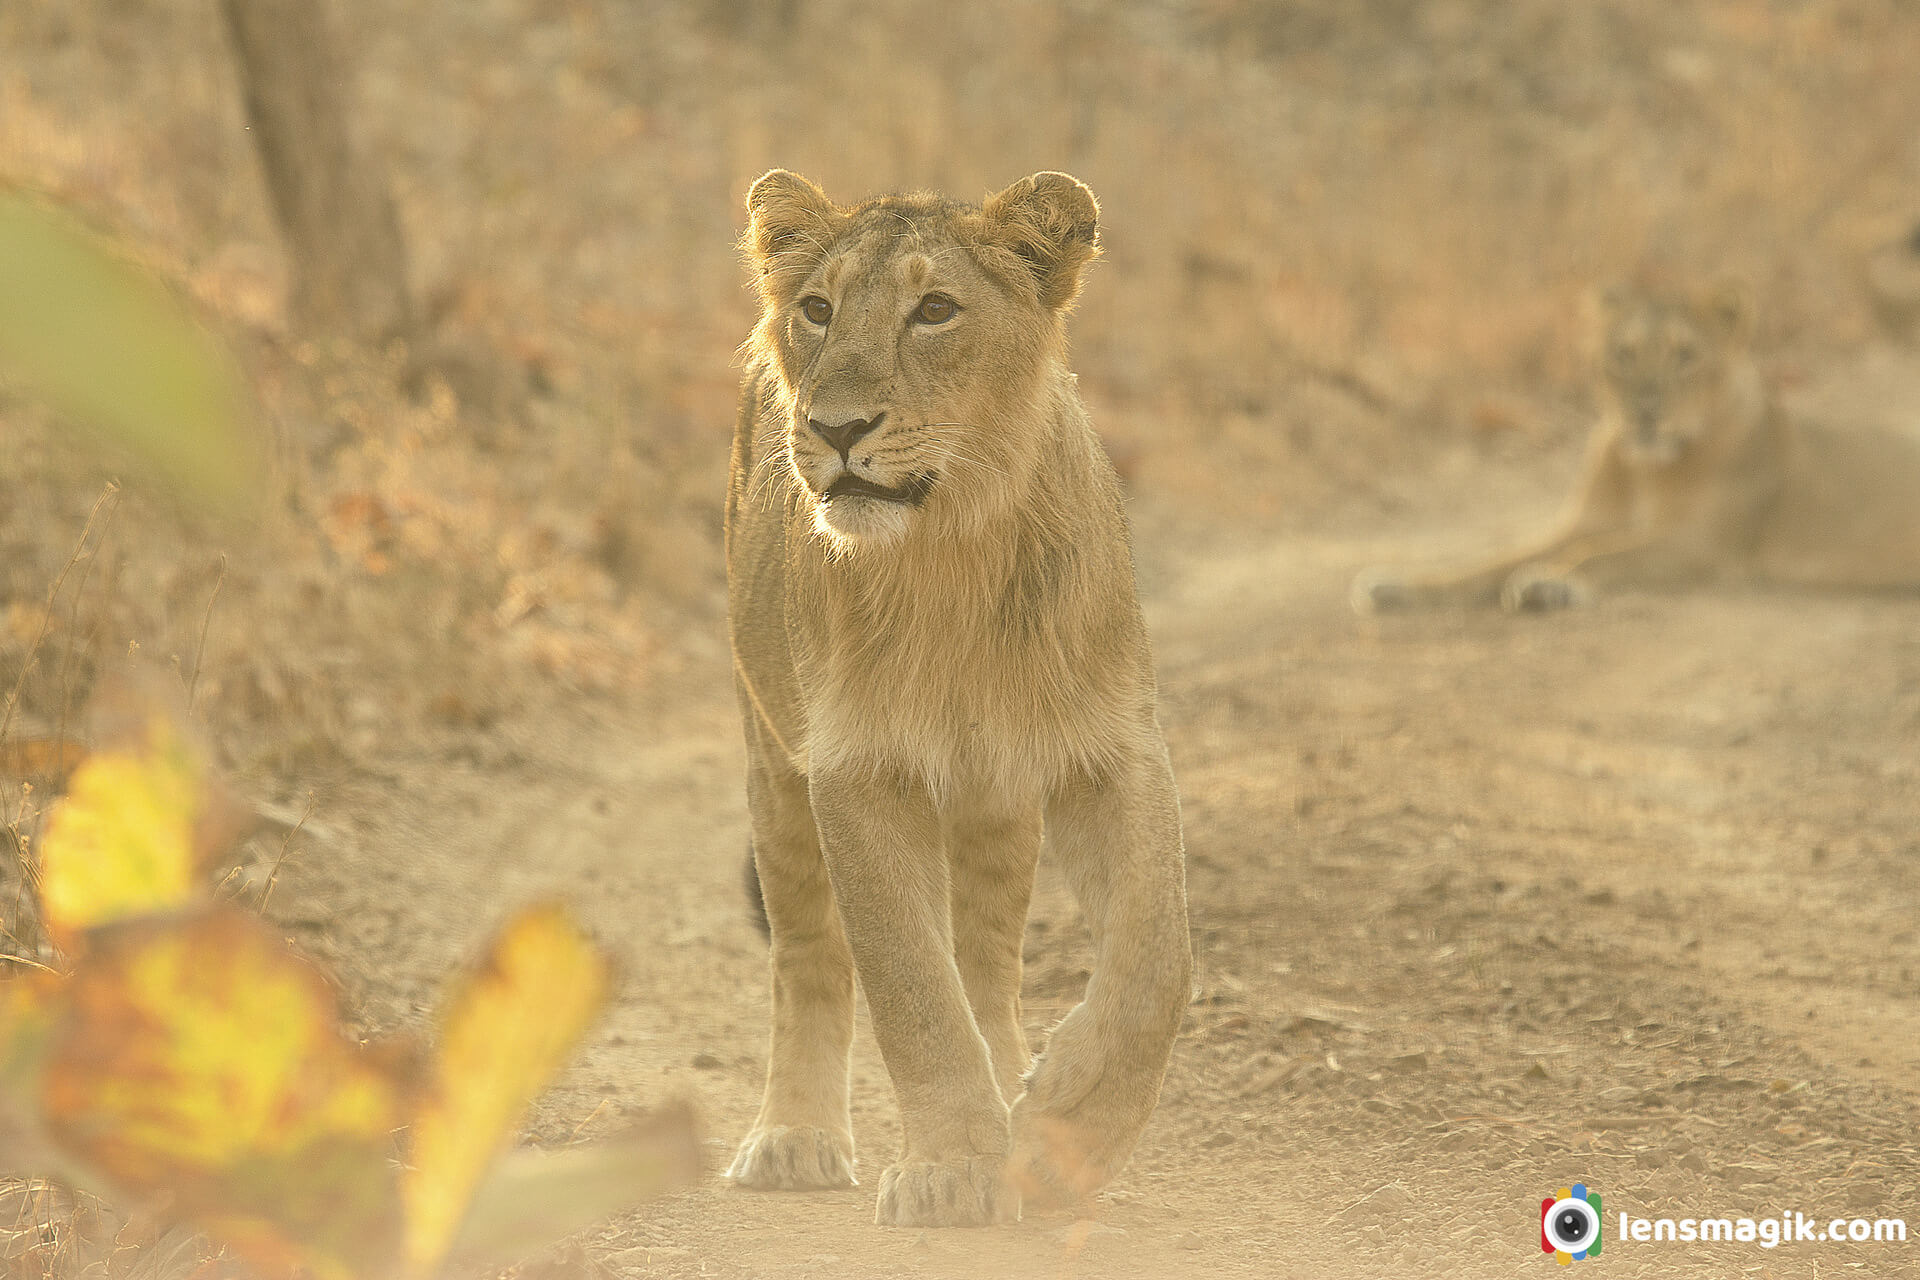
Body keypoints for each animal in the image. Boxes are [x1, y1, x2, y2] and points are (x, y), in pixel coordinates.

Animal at [725, 165, 1190, 1228]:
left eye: (935, 310)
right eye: (818, 310)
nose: (836, 429)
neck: (953, 553)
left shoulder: (1111, 746)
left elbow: (1156, 954)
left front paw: (1073, 1125)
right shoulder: (855, 767)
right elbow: (910, 989)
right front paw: (953, 1165)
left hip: (995, 800)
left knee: (985, 959)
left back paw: (1022, 1092)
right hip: (772, 755)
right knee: (809, 954)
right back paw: (796, 1136)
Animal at [1351, 282, 1920, 614]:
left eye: (1684, 355)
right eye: (1623, 355)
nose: (1645, 411)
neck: (1643, 469)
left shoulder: (1701, 543)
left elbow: (1601, 554)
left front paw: (1549, 585)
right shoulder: (1582, 522)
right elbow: (1488, 561)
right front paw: (1397, 586)